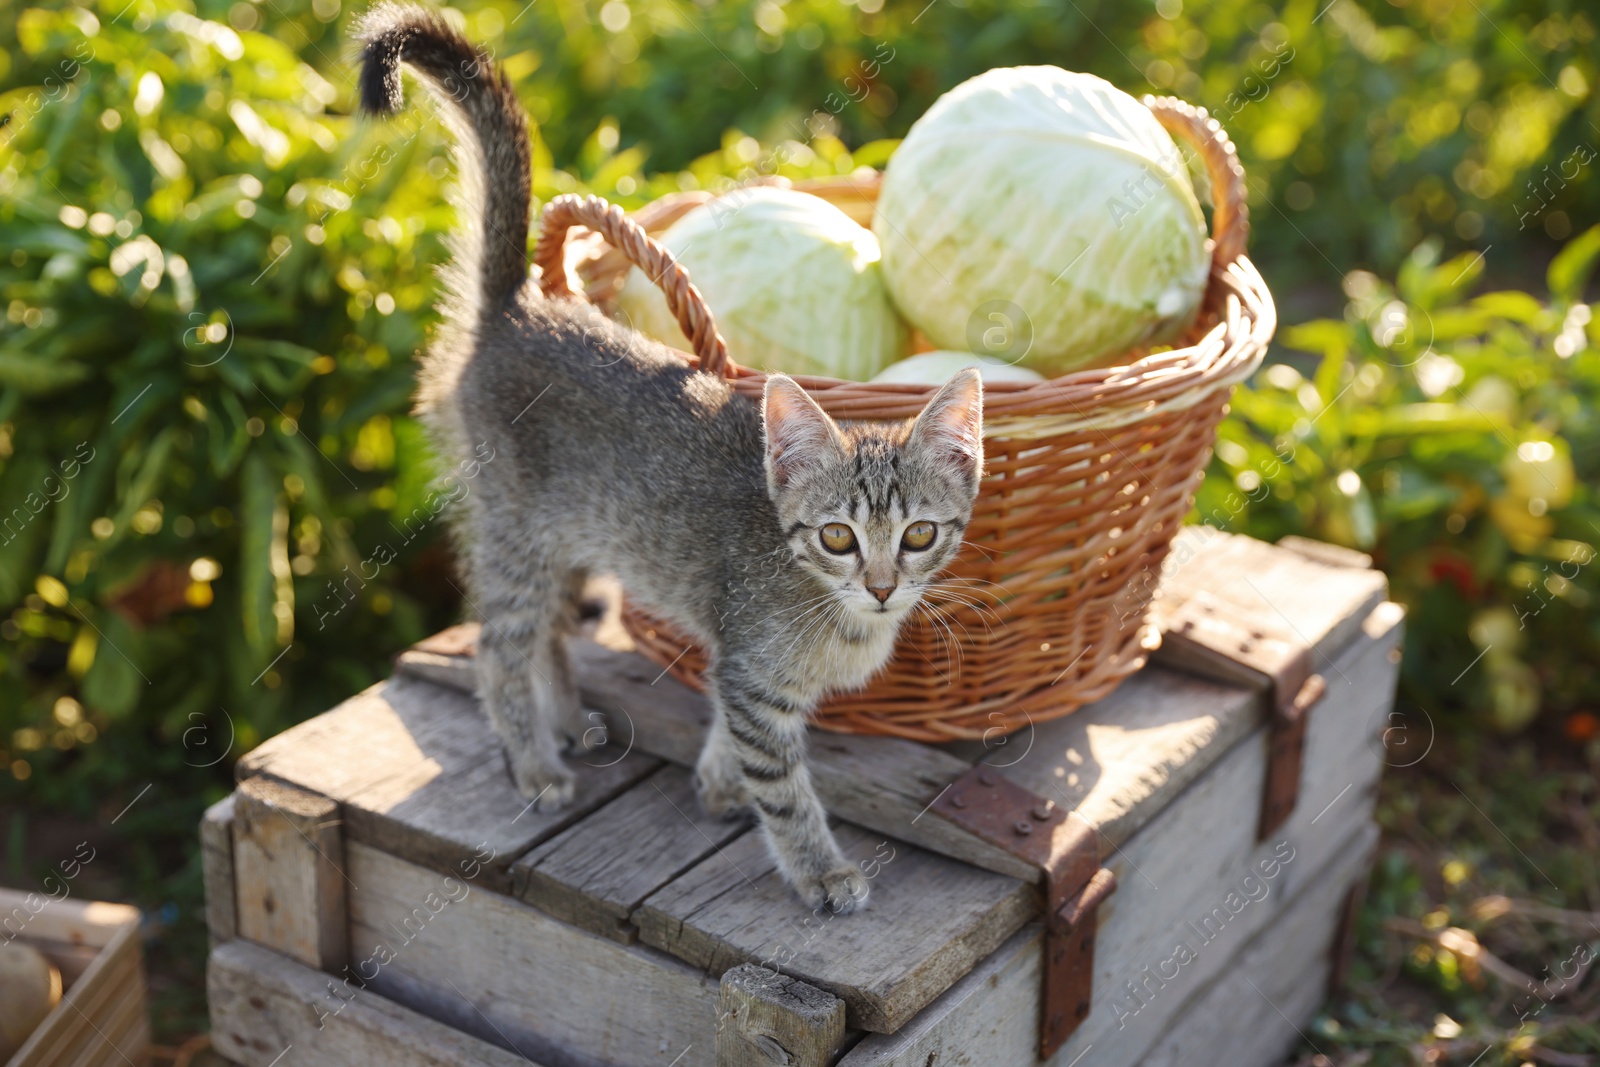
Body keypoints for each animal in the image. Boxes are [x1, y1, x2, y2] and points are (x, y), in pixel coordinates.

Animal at [361, 4, 979, 915]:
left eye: (919, 535)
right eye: (837, 536)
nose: (880, 585)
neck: (840, 616)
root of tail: (519, 305)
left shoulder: (738, 670)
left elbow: (728, 727)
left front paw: (718, 780)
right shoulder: (756, 681)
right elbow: (783, 786)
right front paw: (818, 867)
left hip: (569, 532)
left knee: (549, 624)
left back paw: (566, 718)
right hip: (516, 531)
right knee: (498, 643)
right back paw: (534, 760)